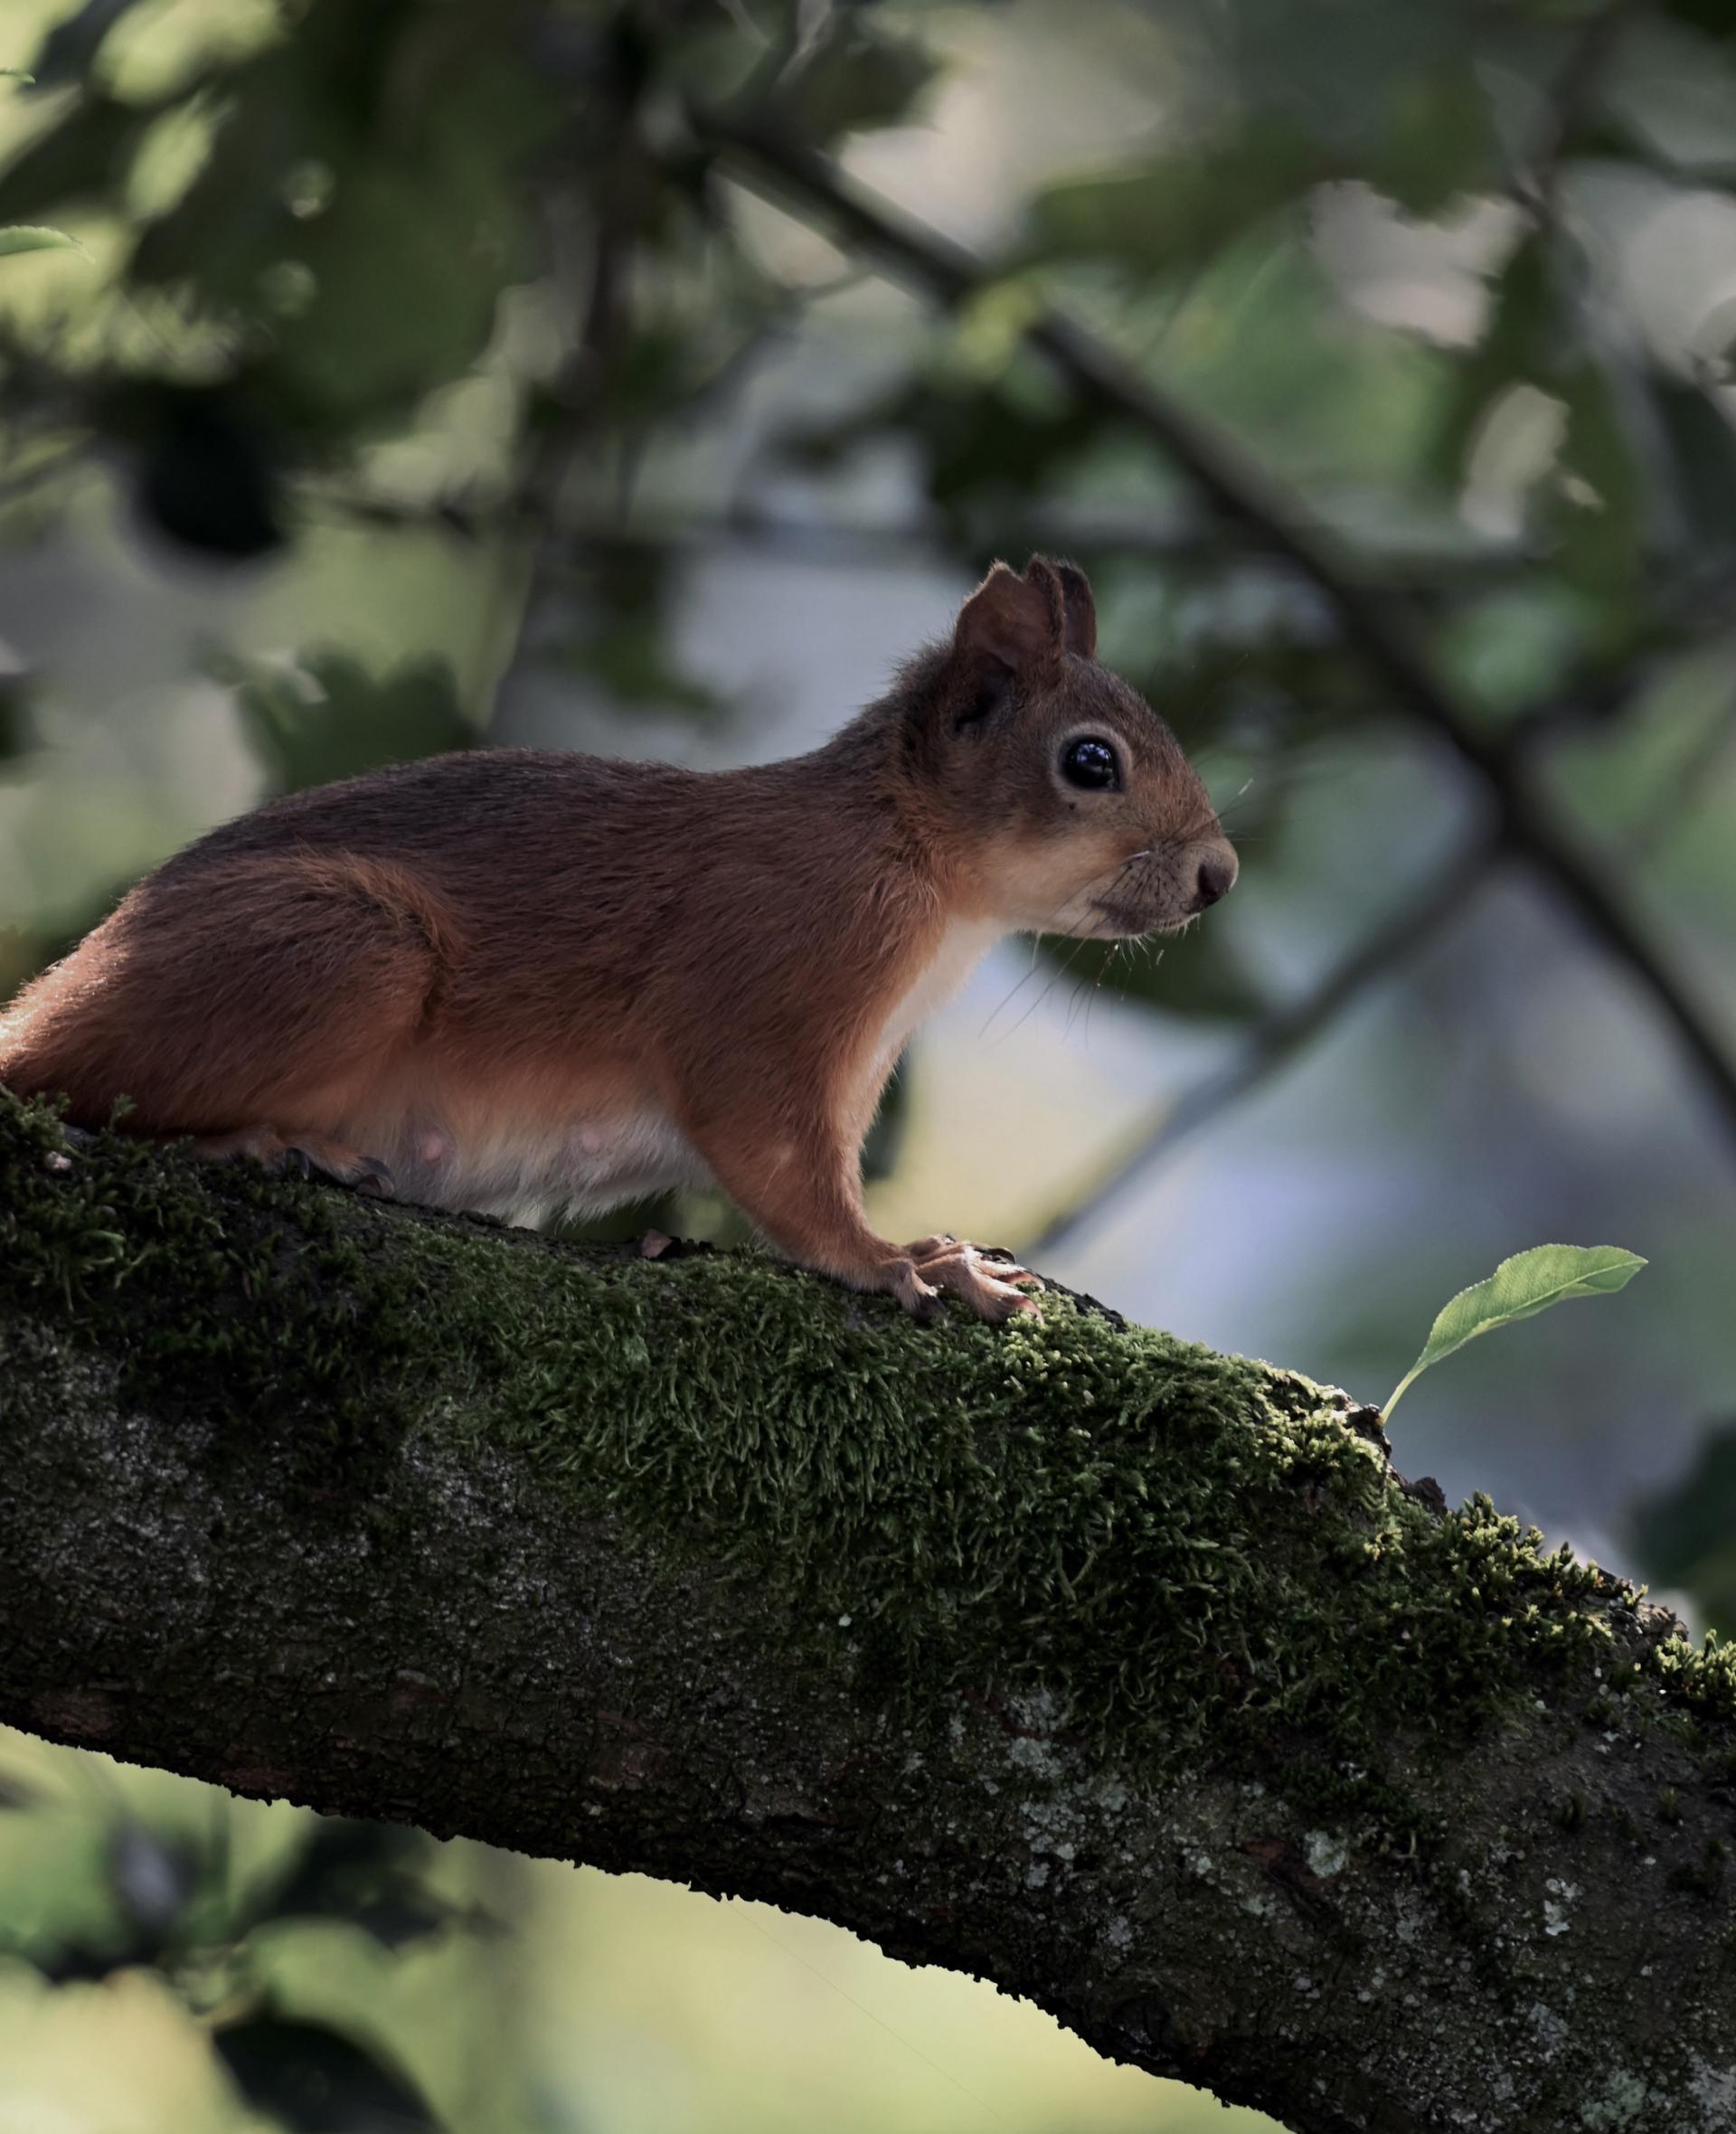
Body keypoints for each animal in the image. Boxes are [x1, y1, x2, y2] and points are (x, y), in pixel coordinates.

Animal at [6, 554, 1245, 1314]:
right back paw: (257, 1141)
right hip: (345, 947)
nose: (1218, 875)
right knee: (87, 1093)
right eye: (1091, 761)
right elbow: (782, 1167)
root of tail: (48, 996)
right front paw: (900, 1260)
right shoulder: (762, 977)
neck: (912, 865)